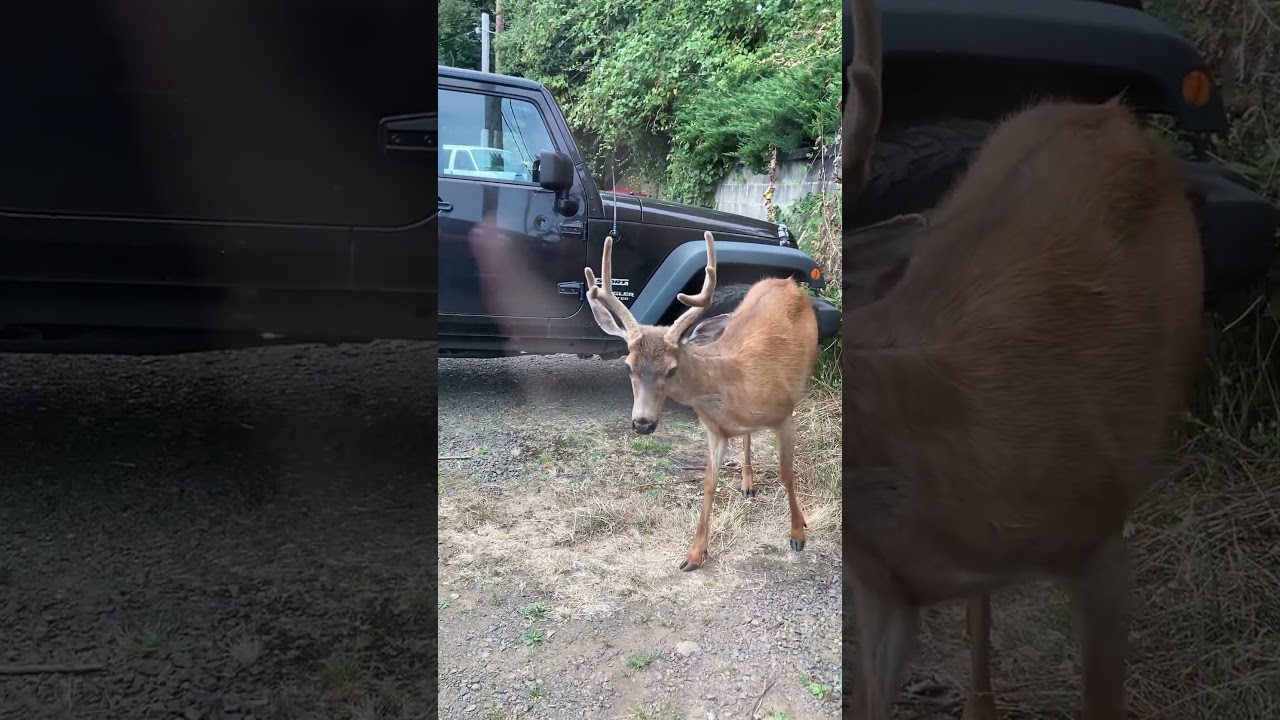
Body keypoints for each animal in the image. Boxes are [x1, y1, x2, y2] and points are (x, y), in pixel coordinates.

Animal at [582, 230, 820, 571]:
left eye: (671, 369)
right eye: (628, 365)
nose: (642, 423)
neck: (732, 385)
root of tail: (788, 282)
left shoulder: (785, 414)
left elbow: (787, 473)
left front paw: (798, 534)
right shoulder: (714, 430)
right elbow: (708, 483)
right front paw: (694, 554)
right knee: (746, 437)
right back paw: (747, 483)